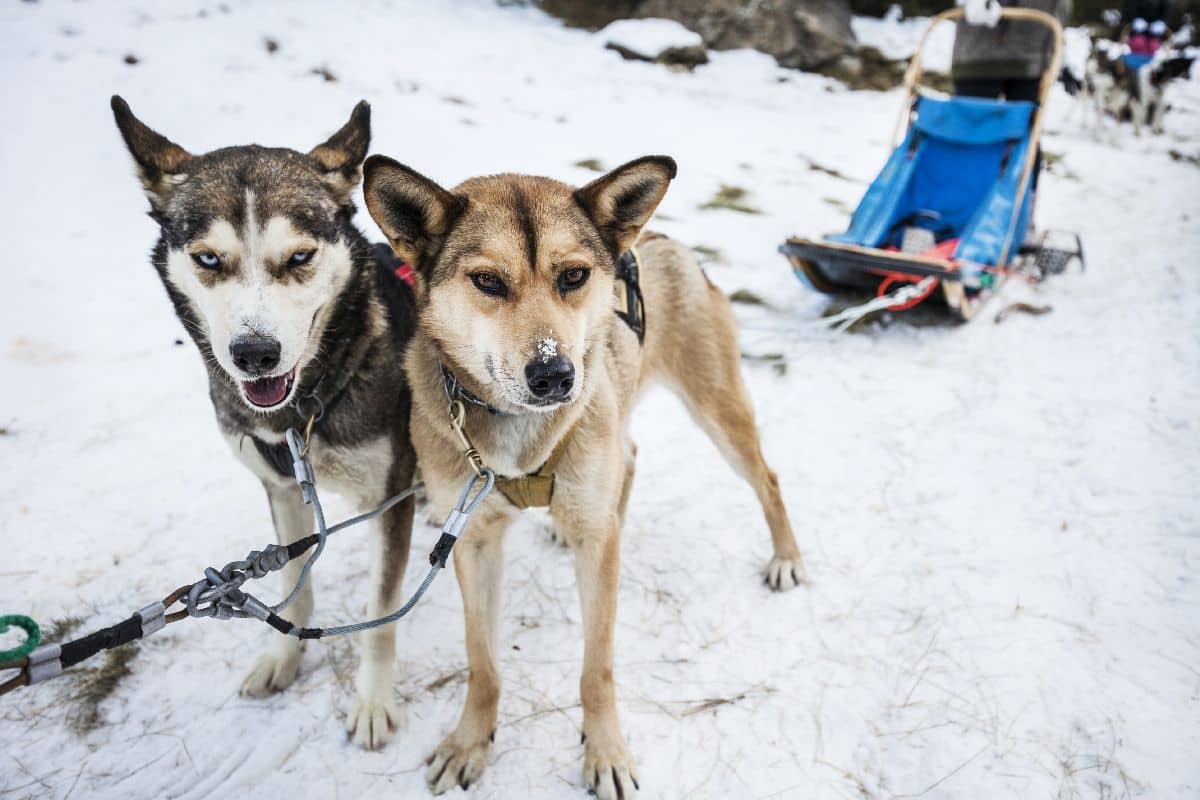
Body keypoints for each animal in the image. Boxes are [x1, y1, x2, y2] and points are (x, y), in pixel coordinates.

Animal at [110, 98, 417, 753]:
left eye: (299, 256)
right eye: (208, 258)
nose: (255, 353)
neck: (305, 414)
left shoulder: (389, 499)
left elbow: (380, 618)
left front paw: (373, 700)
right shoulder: (279, 487)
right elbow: (293, 579)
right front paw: (282, 658)